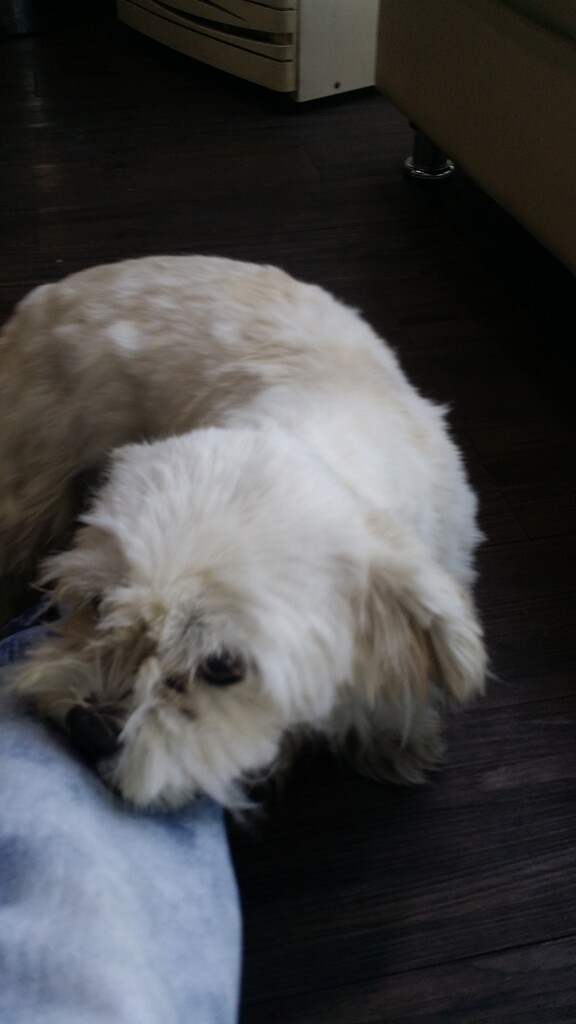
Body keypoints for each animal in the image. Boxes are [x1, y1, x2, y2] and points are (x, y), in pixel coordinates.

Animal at [0, 255, 486, 811]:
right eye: (97, 606)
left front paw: (392, 738)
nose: (88, 729)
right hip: (32, 480)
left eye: (223, 668)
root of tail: (47, 293)